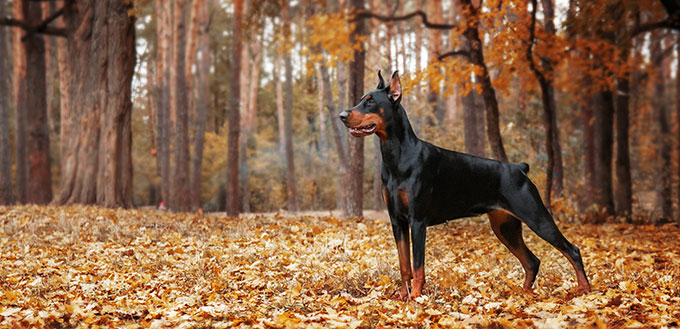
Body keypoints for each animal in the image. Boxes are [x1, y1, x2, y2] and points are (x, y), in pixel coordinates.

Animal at [340, 71, 588, 300]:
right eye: (361, 99)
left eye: (370, 101)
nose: (342, 115)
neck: (397, 157)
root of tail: (518, 168)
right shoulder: (397, 221)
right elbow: (404, 265)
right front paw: (403, 296)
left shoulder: (417, 221)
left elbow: (418, 266)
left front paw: (416, 298)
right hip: (505, 227)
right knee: (532, 261)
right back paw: (522, 294)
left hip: (536, 217)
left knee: (572, 250)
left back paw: (584, 290)